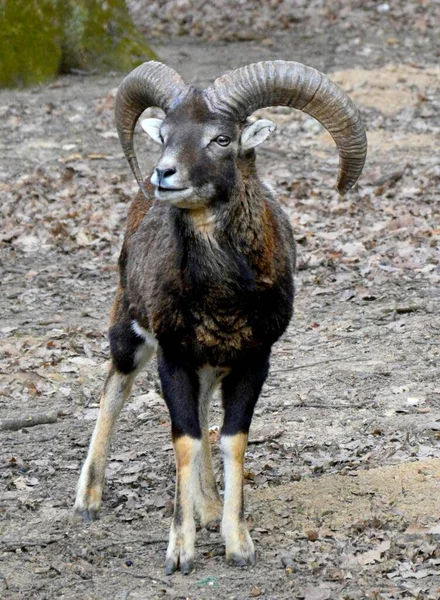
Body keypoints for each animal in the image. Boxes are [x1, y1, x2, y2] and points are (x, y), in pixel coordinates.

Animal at [75, 59, 368, 572]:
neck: (223, 295)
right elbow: (185, 439)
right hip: (130, 331)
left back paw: (209, 506)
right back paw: (88, 500)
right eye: (165, 135)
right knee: (115, 388)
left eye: (222, 139)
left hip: (210, 365)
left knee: (202, 405)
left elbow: (231, 439)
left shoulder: (252, 360)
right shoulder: (173, 358)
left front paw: (237, 542)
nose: (163, 174)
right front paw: (180, 552)